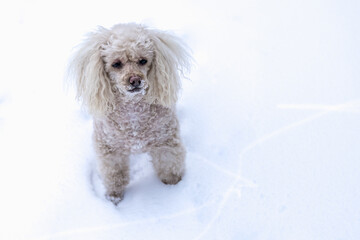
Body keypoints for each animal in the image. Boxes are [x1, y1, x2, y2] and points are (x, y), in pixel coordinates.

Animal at [67, 23, 191, 204]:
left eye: (143, 61)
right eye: (116, 64)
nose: (135, 80)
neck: (133, 113)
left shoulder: (166, 142)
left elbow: (169, 167)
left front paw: (173, 187)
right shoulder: (110, 151)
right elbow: (115, 176)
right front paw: (113, 198)